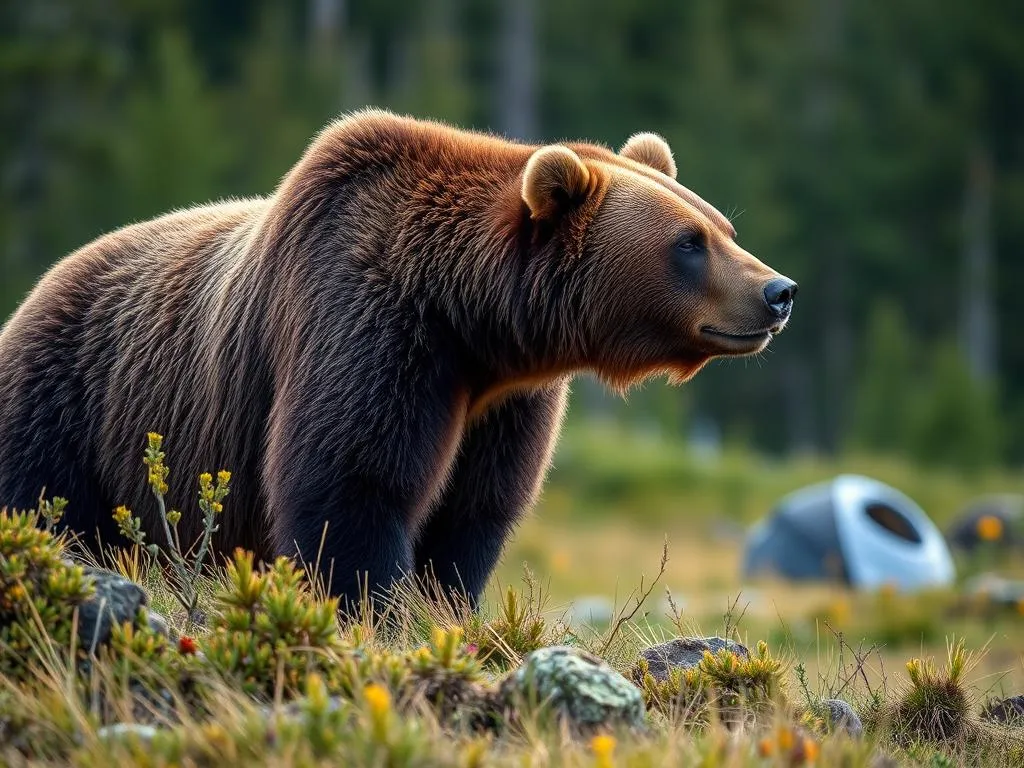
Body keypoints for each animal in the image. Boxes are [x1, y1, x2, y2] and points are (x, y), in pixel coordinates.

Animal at [0, 111, 794, 610]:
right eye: (688, 242)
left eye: (721, 226)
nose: (778, 291)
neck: (470, 318)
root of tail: (37, 289)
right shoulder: (366, 325)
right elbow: (353, 483)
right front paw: (375, 609)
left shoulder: (504, 403)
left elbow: (472, 514)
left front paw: (445, 605)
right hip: (67, 402)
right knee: (41, 496)